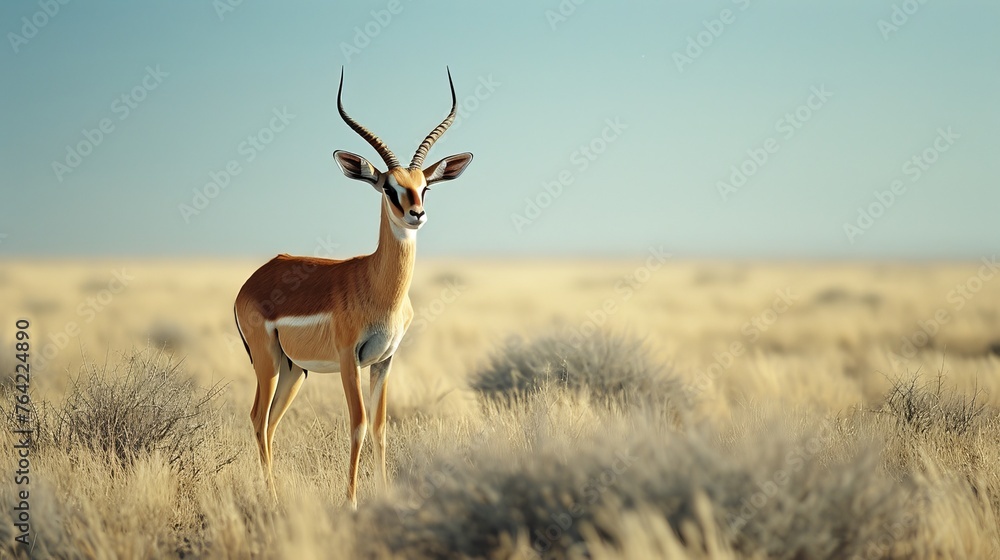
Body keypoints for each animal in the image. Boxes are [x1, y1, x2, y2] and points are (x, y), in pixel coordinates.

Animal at [234, 68, 473, 507]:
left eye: (425, 186)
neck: (379, 288)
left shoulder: (385, 360)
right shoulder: (349, 358)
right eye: (388, 187)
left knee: (271, 422)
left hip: (293, 370)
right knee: (258, 418)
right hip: (267, 362)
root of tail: (256, 277)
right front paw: (351, 502)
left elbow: (380, 427)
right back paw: (272, 498)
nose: (417, 214)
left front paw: (386, 495)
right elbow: (358, 423)